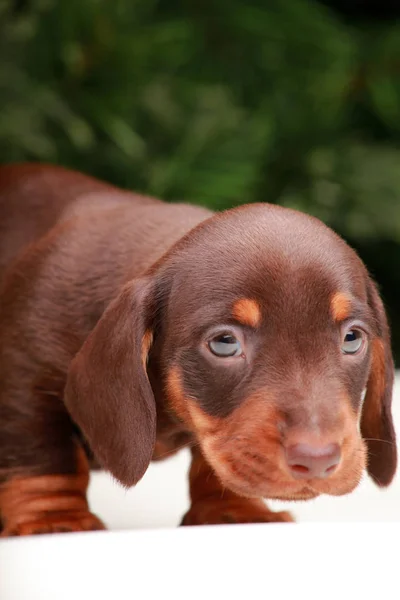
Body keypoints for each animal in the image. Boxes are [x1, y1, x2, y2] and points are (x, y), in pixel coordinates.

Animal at [0, 163, 396, 536]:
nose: (317, 459)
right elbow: (45, 457)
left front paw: (234, 509)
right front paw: (57, 520)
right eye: (225, 343)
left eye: (352, 338)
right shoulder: (23, 386)